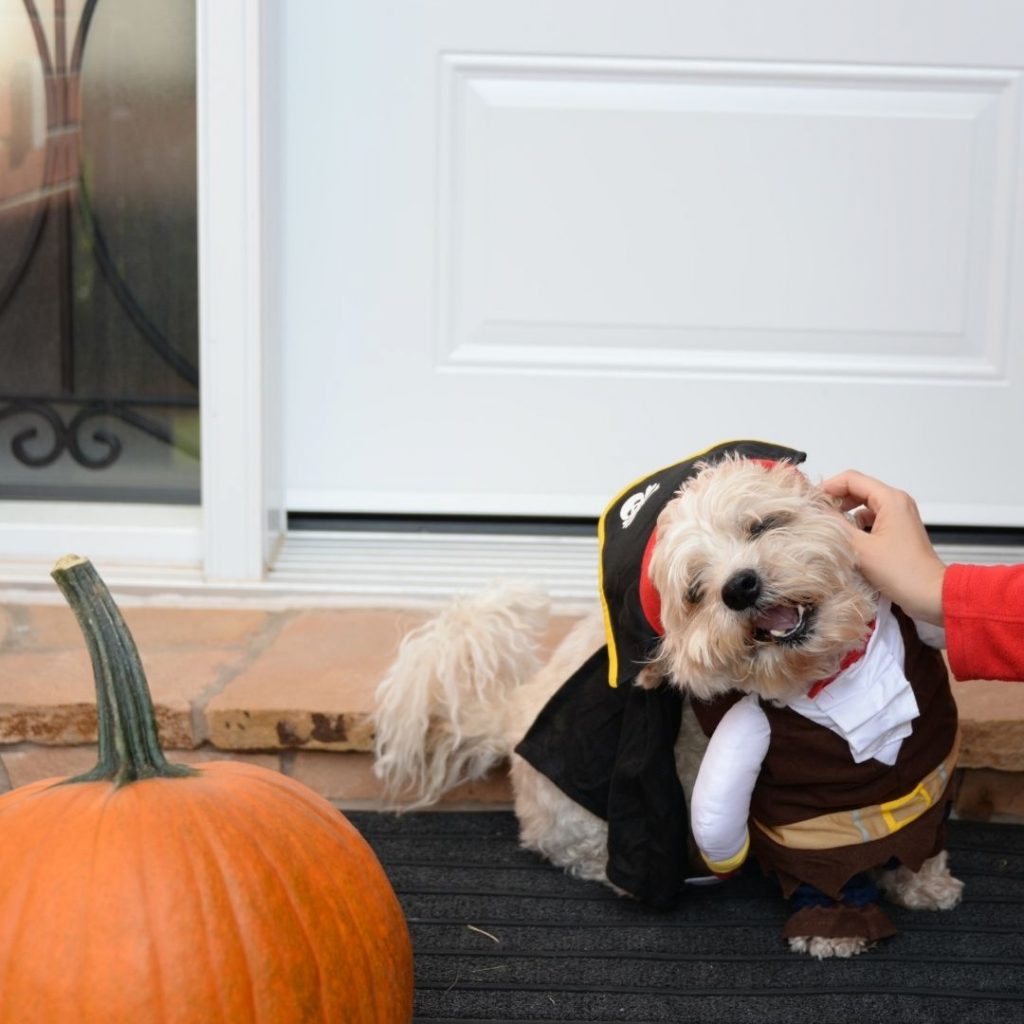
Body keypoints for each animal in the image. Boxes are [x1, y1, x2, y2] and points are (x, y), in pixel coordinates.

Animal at [372, 442, 962, 958]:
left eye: (762, 525)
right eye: (696, 591)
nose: (739, 587)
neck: (832, 678)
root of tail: (517, 712)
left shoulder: (924, 763)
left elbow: (921, 826)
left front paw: (925, 884)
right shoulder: (795, 808)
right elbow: (823, 861)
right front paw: (835, 928)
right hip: (577, 812)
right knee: (575, 849)